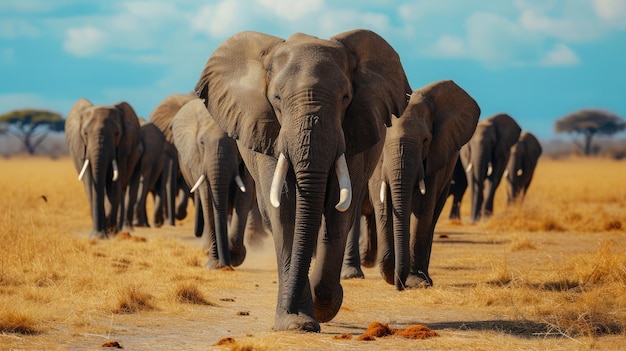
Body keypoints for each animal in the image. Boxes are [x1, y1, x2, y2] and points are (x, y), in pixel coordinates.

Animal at [65, 98, 140, 239]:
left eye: (117, 134)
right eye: (85, 133)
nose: (99, 234)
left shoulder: (121, 150)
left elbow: (114, 186)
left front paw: (108, 231)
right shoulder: (82, 149)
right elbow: (90, 185)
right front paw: (97, 235)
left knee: (121, 189)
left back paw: (116, 230)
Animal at [169, 99, 255, 270]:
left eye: (235, 143)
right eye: (202, 143)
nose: (225, 264)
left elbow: (244, 195)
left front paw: (235, 258)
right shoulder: (199, 161)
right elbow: (207, 198)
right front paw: (213, 263)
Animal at [195, 29, 410, 332]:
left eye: (346, 97)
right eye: (276, 98)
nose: (297, 316)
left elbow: (337, 207)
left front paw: (322, 308)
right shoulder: (268, 132)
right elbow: (284, 209)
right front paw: (296, 321)